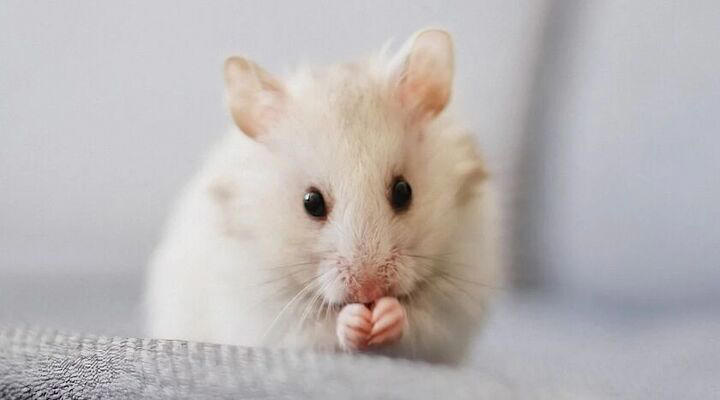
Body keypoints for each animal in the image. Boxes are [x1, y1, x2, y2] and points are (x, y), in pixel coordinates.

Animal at [145, 28, 501, 364]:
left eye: (404, 191)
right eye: (311, 202)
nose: (369, 289)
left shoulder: (456, 297)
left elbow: (419, 320)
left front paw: (386, 316)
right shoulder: (269, 310)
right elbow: (320, 327)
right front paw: (355, 321)